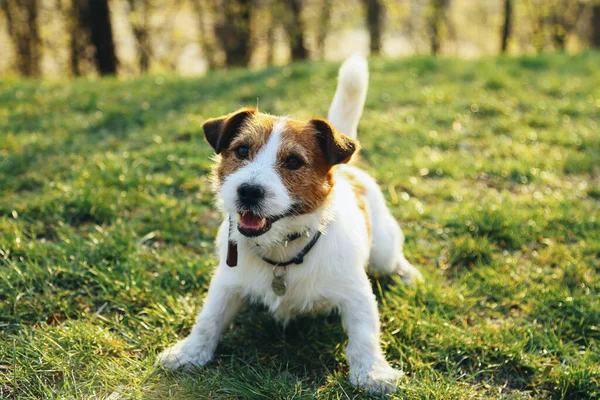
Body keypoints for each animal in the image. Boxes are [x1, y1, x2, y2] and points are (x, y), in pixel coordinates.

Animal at [157, 54, 420, 396]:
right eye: (242, 150)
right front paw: (189, 352)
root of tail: (350, 169)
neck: (281, 249)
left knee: (394, 259)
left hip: (383, 252)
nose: (248, 191)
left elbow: (364, 335)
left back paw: (408, 275)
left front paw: (373, 373)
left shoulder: (355, 293)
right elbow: (209, 319)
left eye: (293, 161)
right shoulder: (226, 282)